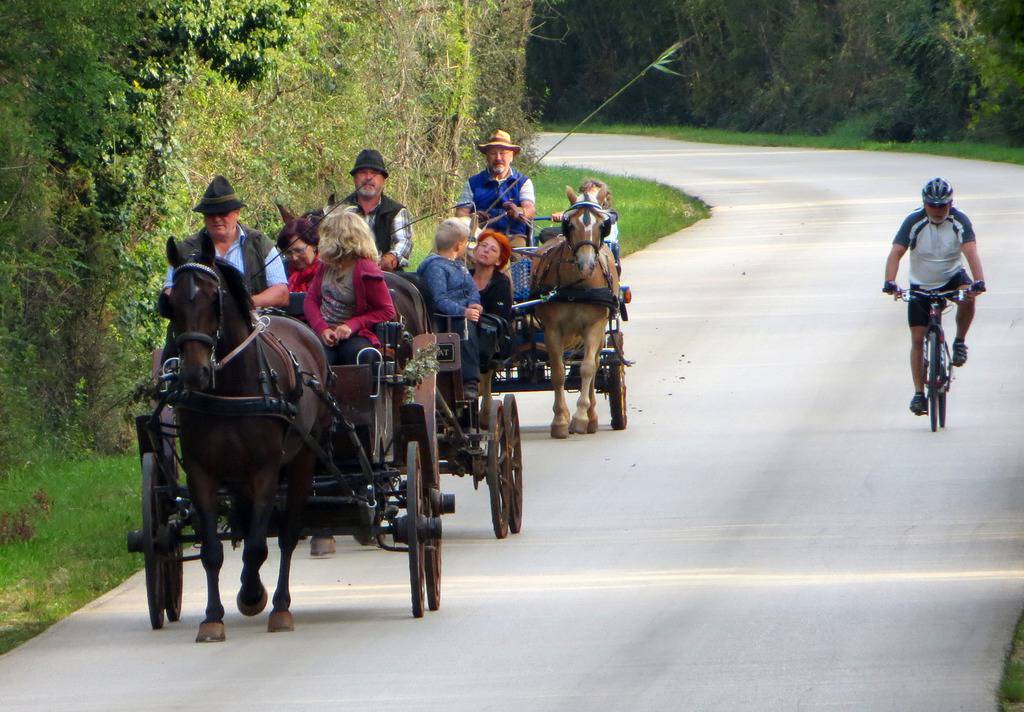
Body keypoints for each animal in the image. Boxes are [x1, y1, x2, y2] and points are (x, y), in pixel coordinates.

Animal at [165, 235, 327, 647]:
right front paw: (212, 618)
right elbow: (211, 550)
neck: (230, 388)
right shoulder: (201, 472)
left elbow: (257, 546)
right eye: (170, 302)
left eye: (214, 298)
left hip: (302, 459)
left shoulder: (265, 470)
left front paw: (253, 596)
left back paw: (281, 605)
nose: (194, 372)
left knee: (287, 535)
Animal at [532, 186, 618, 436]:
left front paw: (580, 417)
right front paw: (560, 420)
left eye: (603, 225)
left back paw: (591, 417)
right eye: (569, 224)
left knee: (597, 364)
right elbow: (558, 372)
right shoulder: (552, 329)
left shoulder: (594, 326)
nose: (587, 264)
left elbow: (588, 369)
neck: (577, 286)